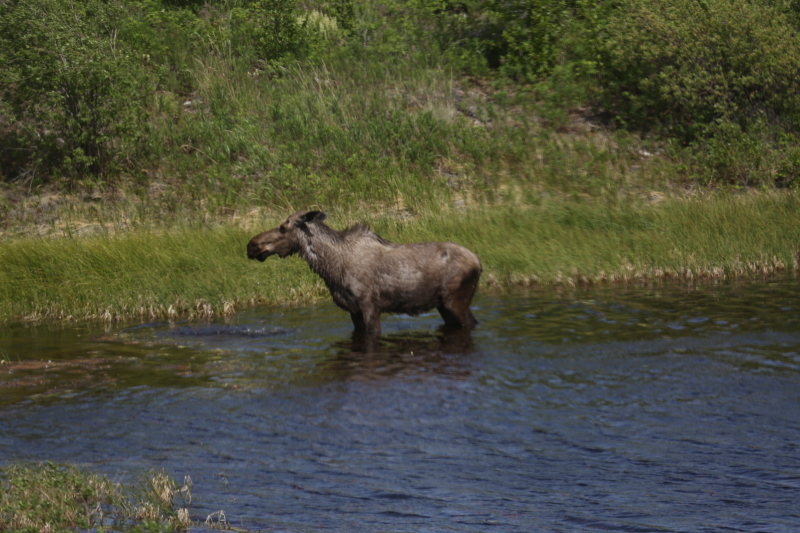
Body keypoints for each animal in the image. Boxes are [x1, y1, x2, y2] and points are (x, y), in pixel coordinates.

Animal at [244, 211, 482, 332]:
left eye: (283, 227)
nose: (251, 245)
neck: (332, 269)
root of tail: (479, 263)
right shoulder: (353, 309)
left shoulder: (370, 305)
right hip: (443, 305)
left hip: (455, 301)